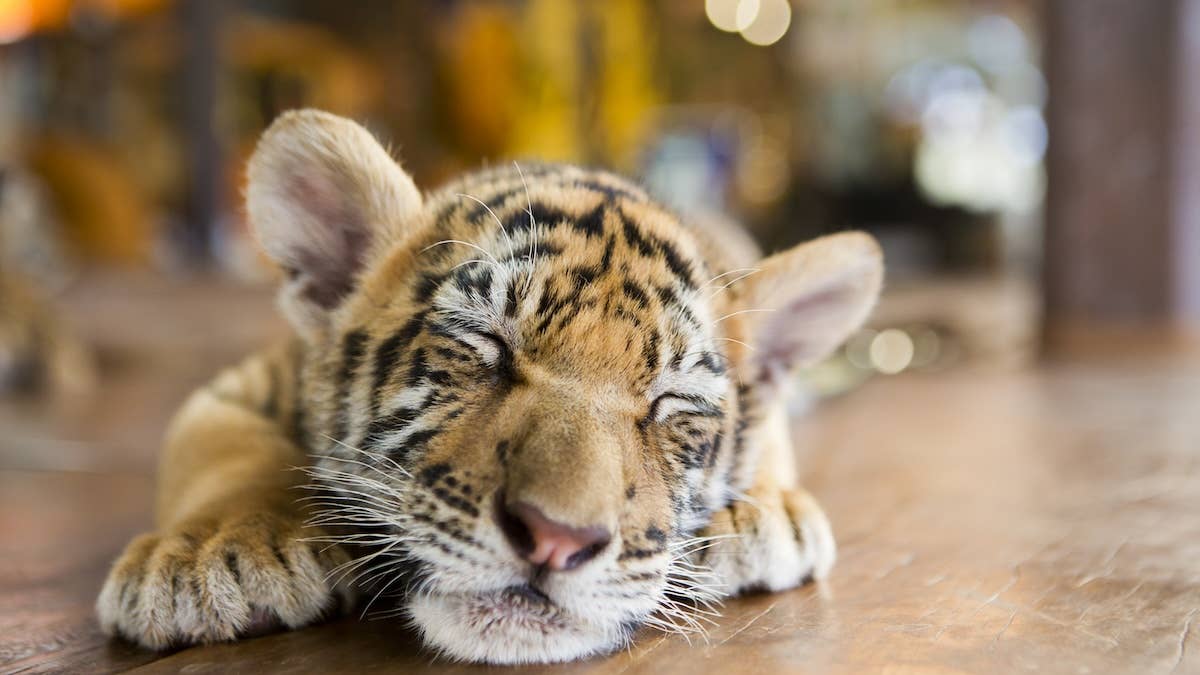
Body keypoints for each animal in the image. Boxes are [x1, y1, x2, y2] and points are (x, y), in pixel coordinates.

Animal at [96, 110, 883, 664]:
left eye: (669, 404)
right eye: (486, 346)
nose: (557, 540)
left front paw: (764, 513)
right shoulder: (236, 386)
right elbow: (223, 449)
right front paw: (210, 556)